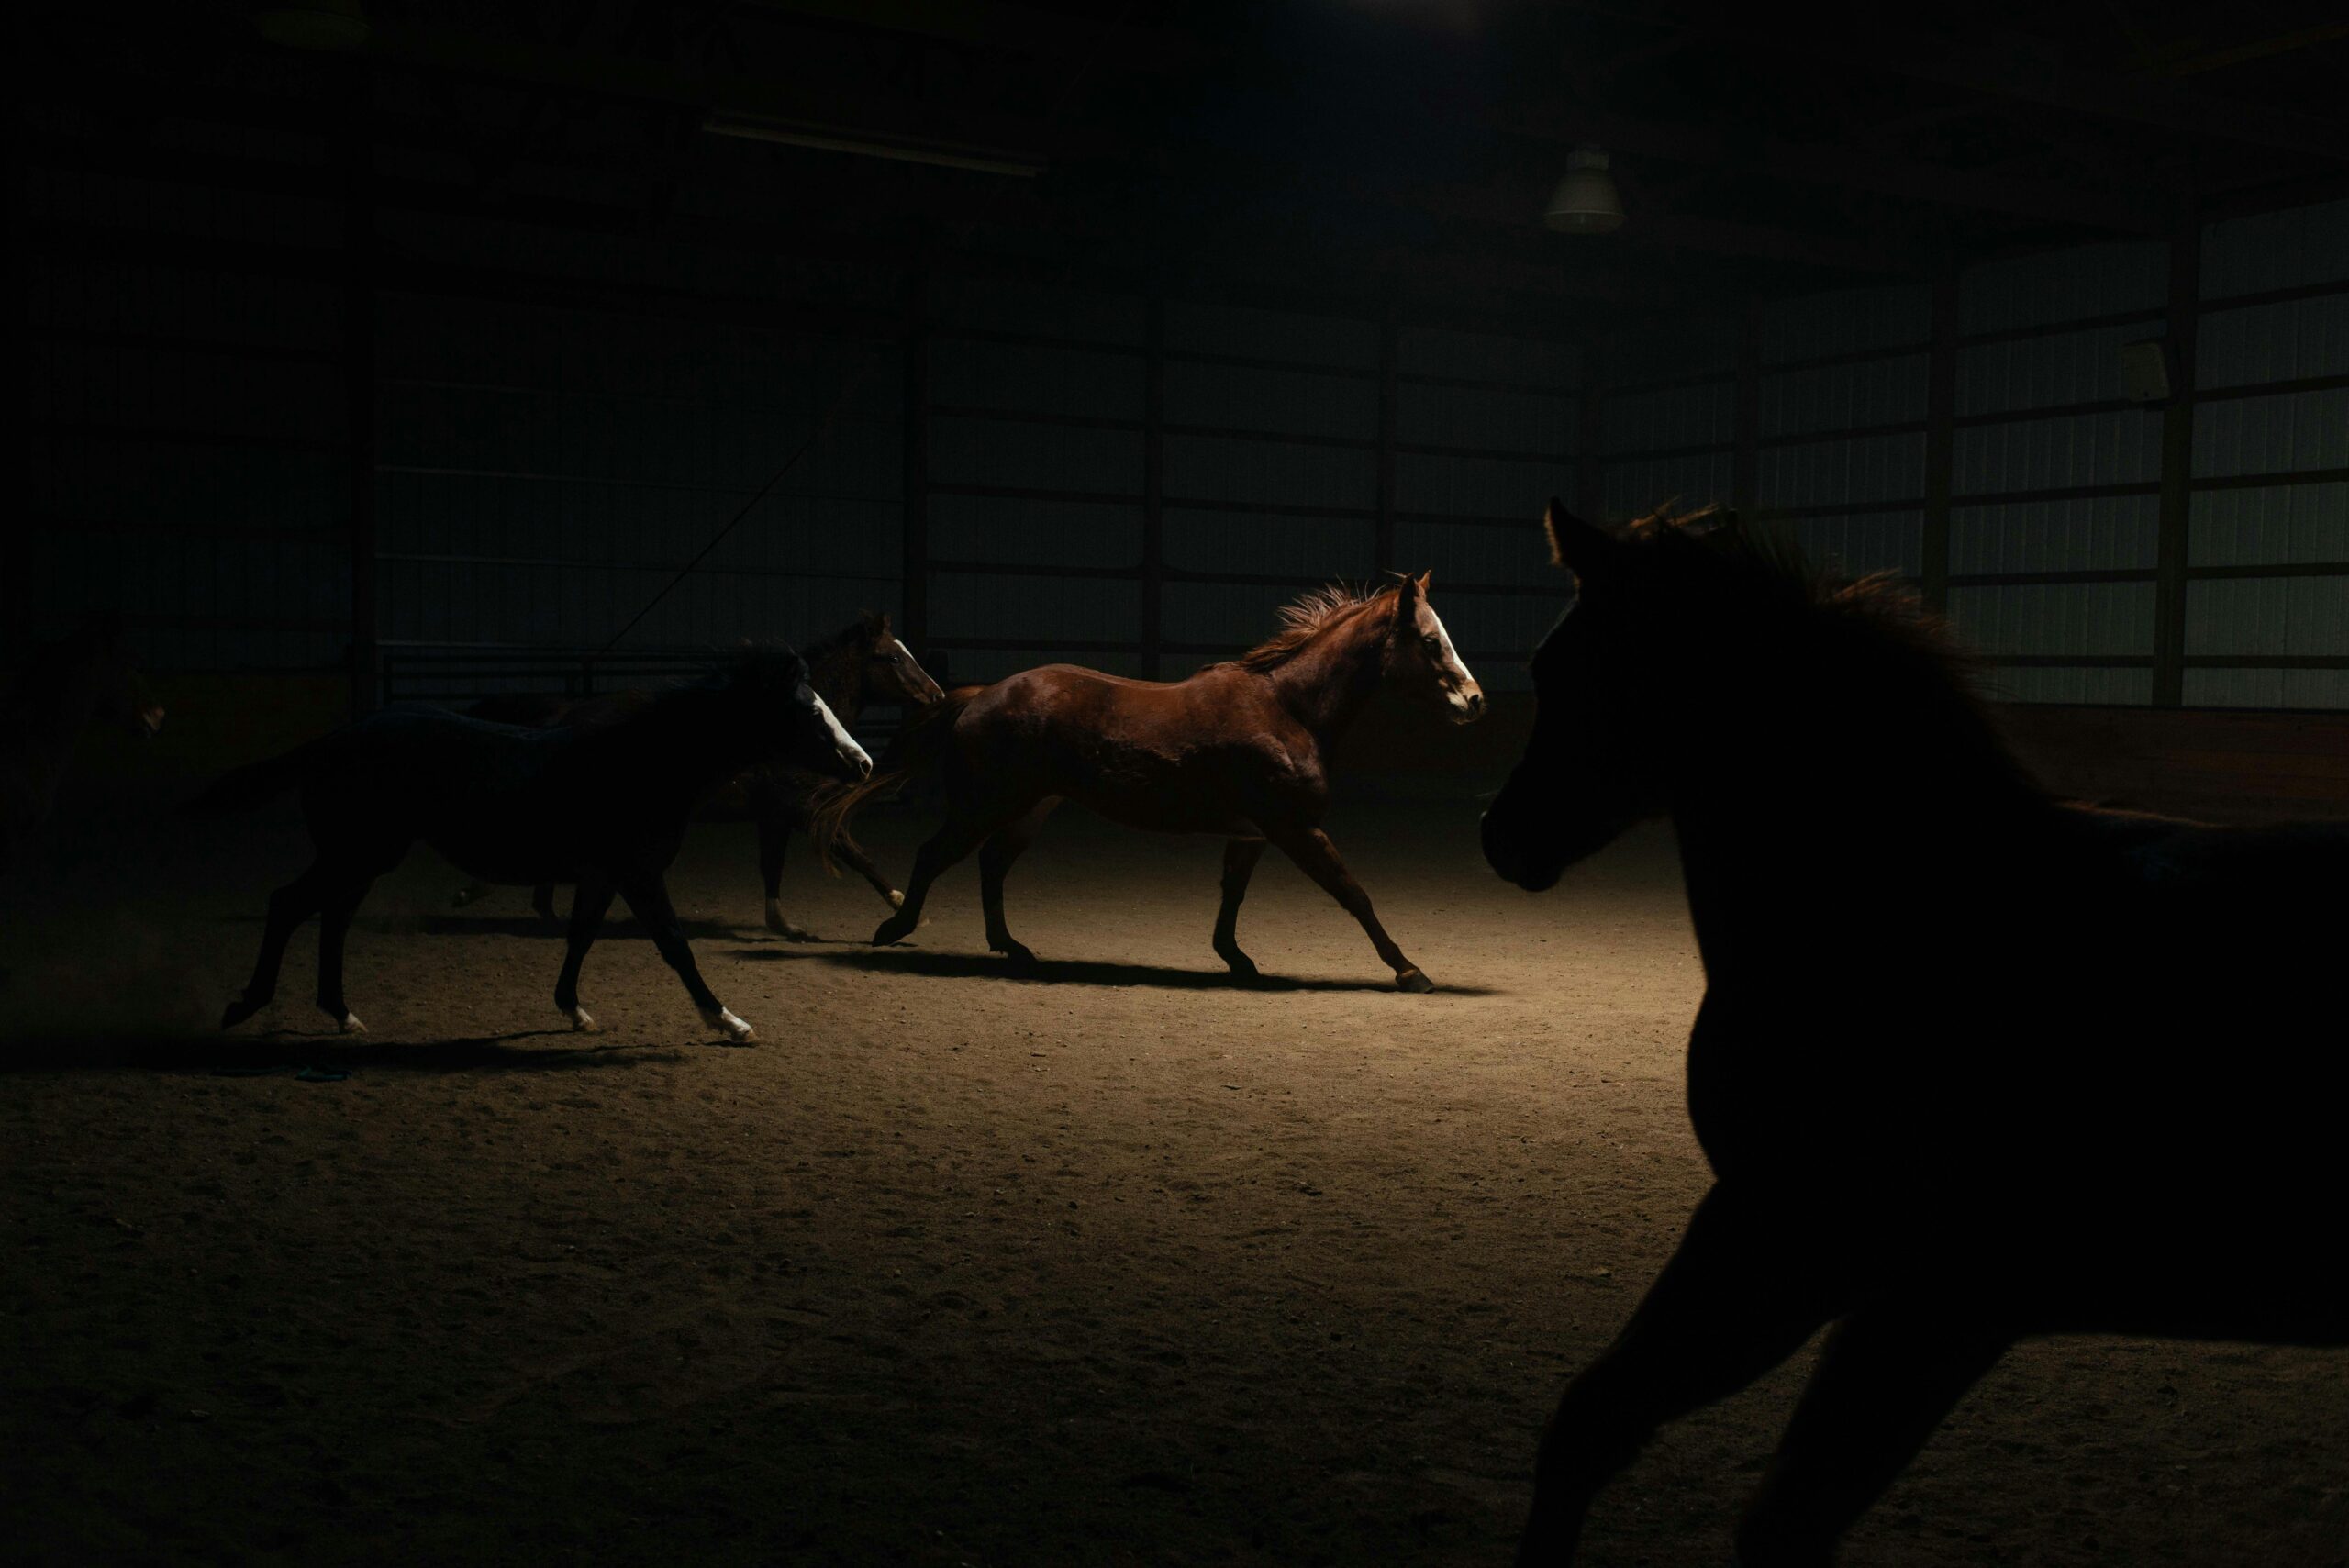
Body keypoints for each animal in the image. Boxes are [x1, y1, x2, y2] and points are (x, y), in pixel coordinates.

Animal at [190, 648, 871, 1043]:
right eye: (810, 712)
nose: (862, 763)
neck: (640, 763)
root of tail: (331, 740)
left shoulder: (601, 875)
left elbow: (580, 936)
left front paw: (573, 1010)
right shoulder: (639, 873)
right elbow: (675, 946)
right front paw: (728, 1021)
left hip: (363, 859)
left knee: (331, 920)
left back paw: (341, 1014)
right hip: (355, 854)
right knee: (288, 905)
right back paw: (245, 1007)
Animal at [454, 612, 943, 936]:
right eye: (893, 657)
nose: (937, 696)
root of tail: (564, 713)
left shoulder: (774, 814)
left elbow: (773, 865)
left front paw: (782, 924)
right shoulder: (799, 808)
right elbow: (854, 852)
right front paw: (905, 907)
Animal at [817, 571, 1484, 991]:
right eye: (1431, 641)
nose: (1476, 701)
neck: (1287, 708)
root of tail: (981, 694)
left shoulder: (1253, 832)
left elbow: (1233, 895)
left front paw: (1236, 958)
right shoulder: (1294, 828)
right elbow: (1353, 894)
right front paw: (1408, 969)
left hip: (1031, 806)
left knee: (993, 864)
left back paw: (1011, 946)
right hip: (984, 804)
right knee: (935, 855)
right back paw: (896, 928)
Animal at [1479, 500, 2349, 1566]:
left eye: (1567, 666)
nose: (1501, 834)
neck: (1922, 906)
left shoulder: (1846, 1265)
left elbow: (1750, 1500)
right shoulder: (1835, 1265)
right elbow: (1609, 1431)